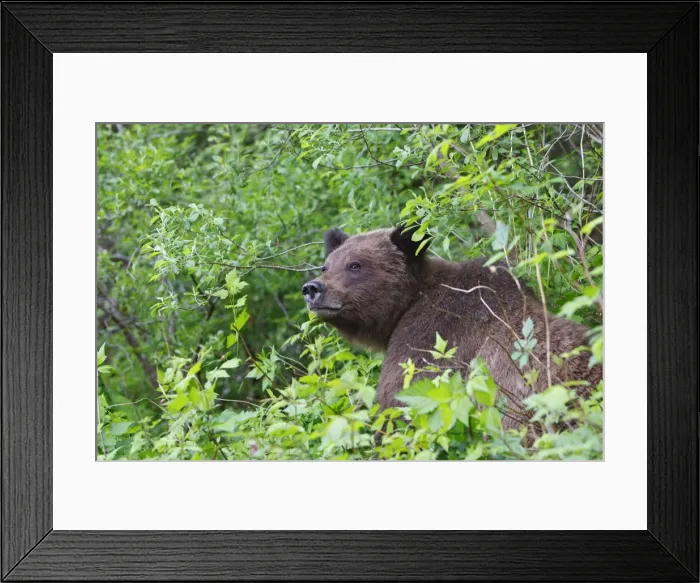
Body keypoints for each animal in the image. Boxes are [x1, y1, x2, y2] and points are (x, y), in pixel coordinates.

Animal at [302, 225, 602, 429]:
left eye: (355, 265)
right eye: (327, 265)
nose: (312, 289)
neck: (406, 305)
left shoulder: (429, 342)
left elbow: (400, 404)